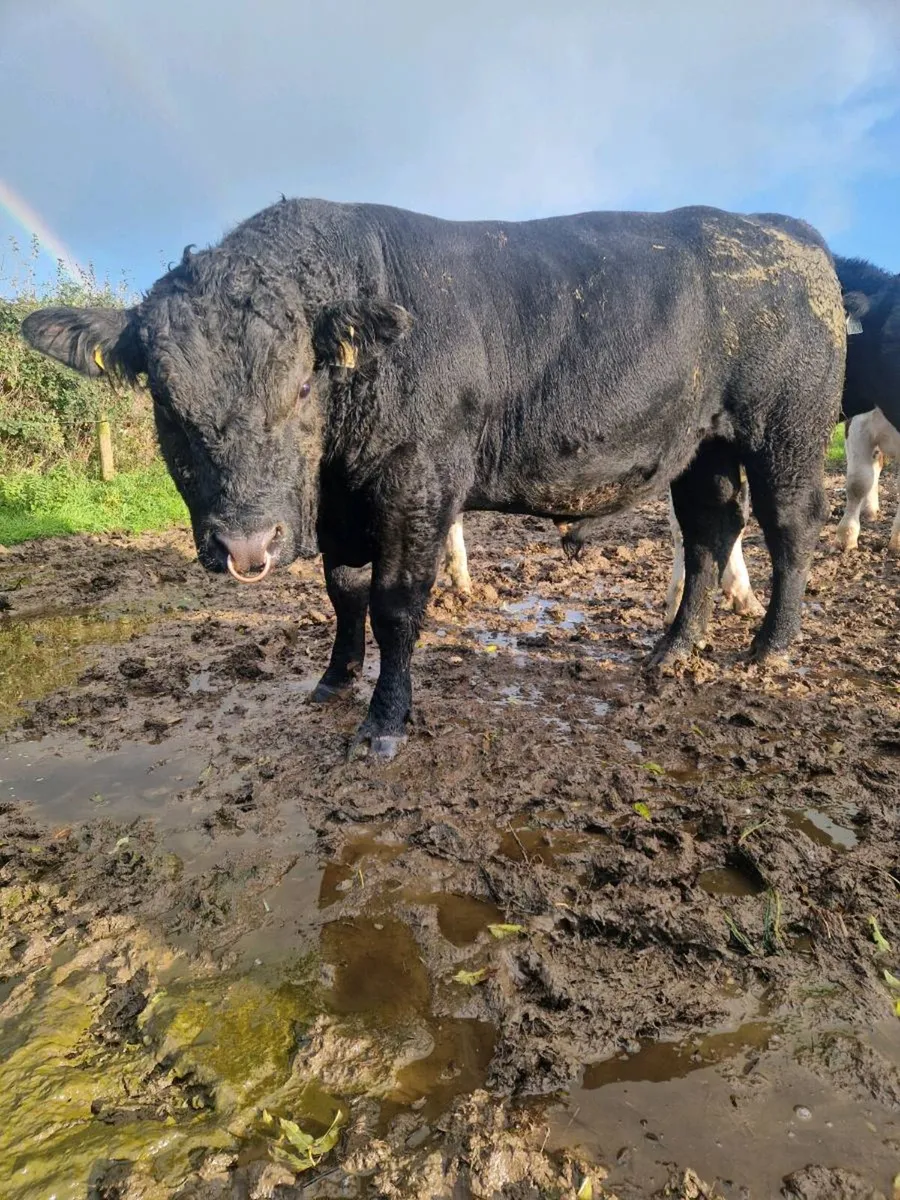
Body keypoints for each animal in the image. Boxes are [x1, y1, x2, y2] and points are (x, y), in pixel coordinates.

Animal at [21, 199, 845, 759]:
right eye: (164, 401)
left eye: (300, 386)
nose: (247, 546)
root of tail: (781, 230)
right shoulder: (340, 505)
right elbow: (344, 592)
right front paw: (334, 679)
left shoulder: (415, 482)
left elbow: (393, 605)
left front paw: (382, 723)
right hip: (703, 445)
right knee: (710, 532)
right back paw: (672, 650)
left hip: (788, 426)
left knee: (790, 525)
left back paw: (770, 647)